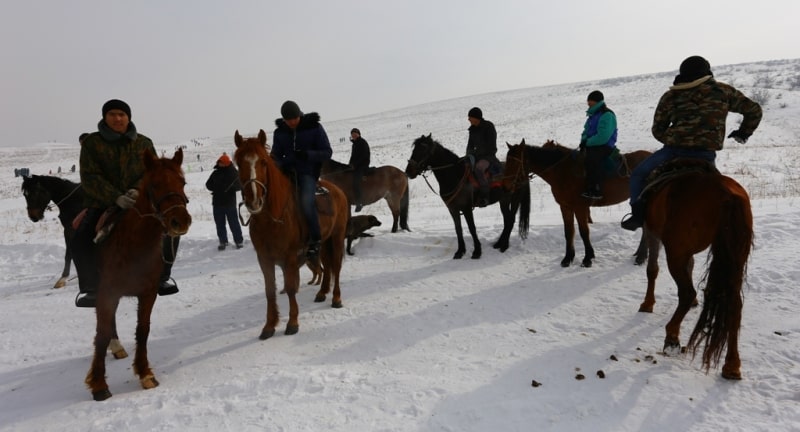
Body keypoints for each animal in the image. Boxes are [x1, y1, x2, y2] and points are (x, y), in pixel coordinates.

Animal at [85, 149, 191, 402]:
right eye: (154, 184)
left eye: (182, 182)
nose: (180, 221)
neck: (134, 244)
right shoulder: (108, 293)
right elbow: (101, 335)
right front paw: (98, 384)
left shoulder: (148, 293)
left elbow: (143, 331)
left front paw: (144, 373)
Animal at [230, 130, 346, 340]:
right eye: (239, 163)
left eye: (263, 162)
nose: (254, 200)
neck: (272, 218)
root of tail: (338, 191)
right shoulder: (264, 258)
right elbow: (270, 290)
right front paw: (269, 325)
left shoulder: (290, 257)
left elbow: (291, 288)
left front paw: (292, 323)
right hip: (324, 242)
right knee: (326, 265)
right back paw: (322, 293)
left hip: (337, 237)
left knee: (336, 266)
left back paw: (336, 298)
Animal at [506, 140, 648, 266]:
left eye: (514, 161)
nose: (507, 184)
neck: (563, 172)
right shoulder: (565, 207)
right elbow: (569, 231)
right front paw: (568, 258)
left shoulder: (580, 208)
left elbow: (584, 232)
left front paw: (588, 258)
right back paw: (640, 254)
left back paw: (641, 257)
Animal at [636, 167, 752, 380]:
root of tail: (728, 196)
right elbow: (690, 266)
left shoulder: (652, 232)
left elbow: (652, 270)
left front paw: (647, 304)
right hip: (736, 260)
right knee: (735, 304)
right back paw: (732, 365)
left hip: (675, 252)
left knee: (686, 292)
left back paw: (672, 336)